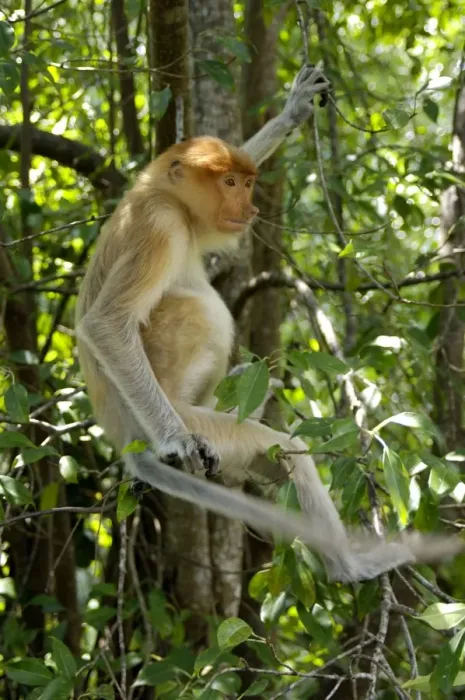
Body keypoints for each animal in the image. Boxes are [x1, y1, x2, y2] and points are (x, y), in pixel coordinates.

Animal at [75, 65, 462, 583]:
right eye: (228, 182)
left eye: (246, 181)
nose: (251, 207)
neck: (165, 195)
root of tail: (122, 437)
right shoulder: (159, 223)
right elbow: (106, 323)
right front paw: (178, 442)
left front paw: (293, 110)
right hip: (191, 415)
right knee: (272, 440)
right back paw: (348, 565)